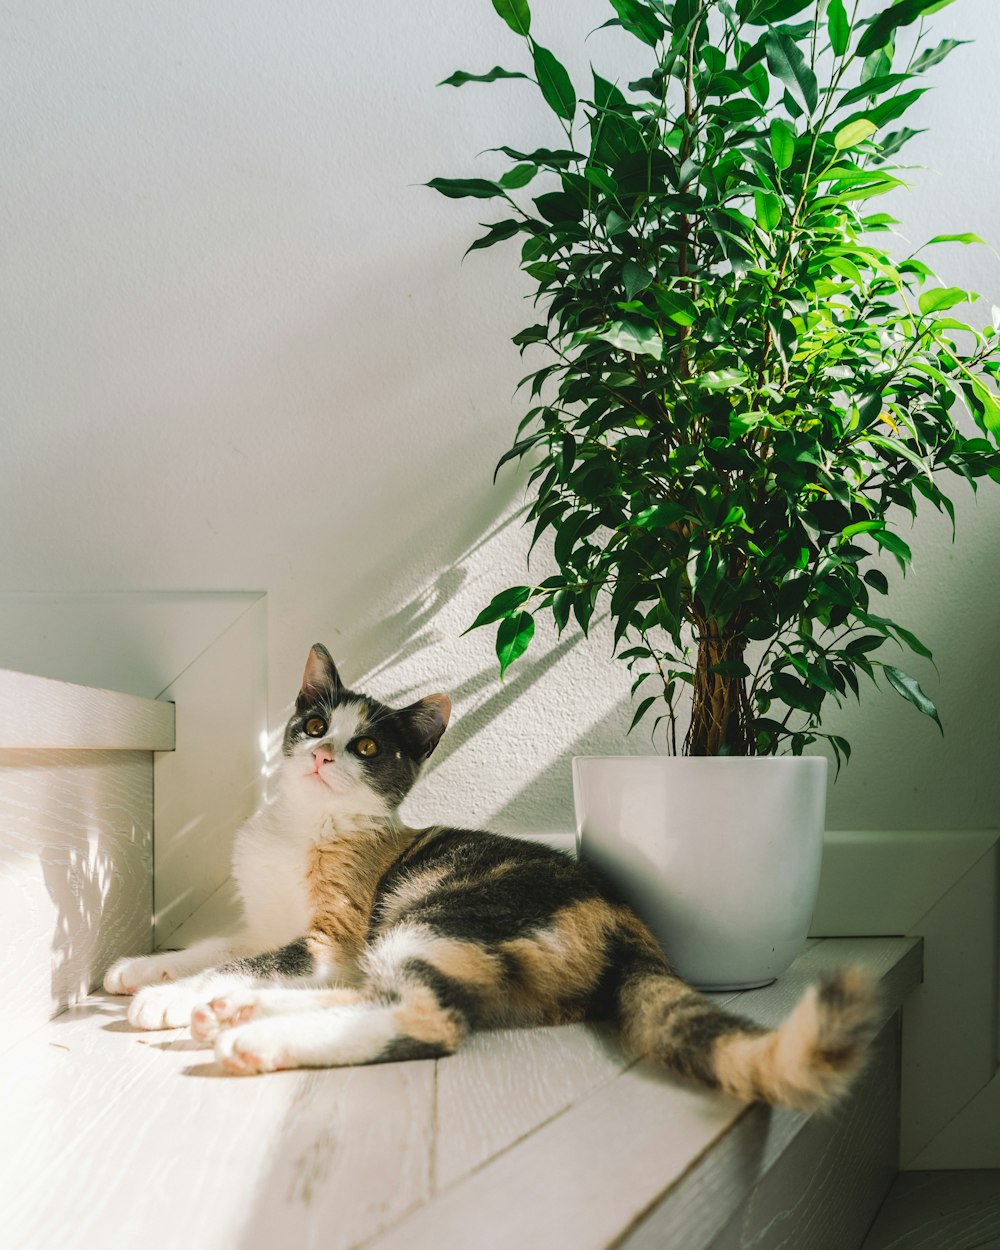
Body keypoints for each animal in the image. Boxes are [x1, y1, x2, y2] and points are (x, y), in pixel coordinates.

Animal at [103, 640, 875, 1110]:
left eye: (368, 747)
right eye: (315, 725)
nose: (322, 756)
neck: (303, 826)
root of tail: (627, 920)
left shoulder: (332, 938)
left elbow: (263, 959)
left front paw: (166, 998)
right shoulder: (269, 923)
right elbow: (224, 948)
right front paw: (144, 970)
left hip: (440, 914)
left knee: (430, 1015)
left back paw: (252, 1036)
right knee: (386, 991)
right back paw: (237, 1012)